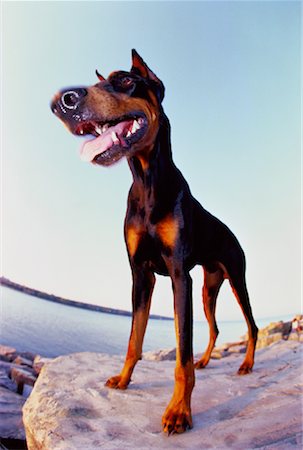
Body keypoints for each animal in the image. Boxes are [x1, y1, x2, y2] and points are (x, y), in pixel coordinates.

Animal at [50, 49, 258, 432]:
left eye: (125, 80)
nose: (64, 101)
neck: (146, 181)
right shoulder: (140, 275)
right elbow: (135, 338)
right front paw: (123, 379)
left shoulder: (179, 275)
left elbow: (182, 354)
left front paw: (179, 411)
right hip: (208, 286)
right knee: (215, 327)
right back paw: (207, 360)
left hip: (236, 278)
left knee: (251, 325)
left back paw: (247, 364)